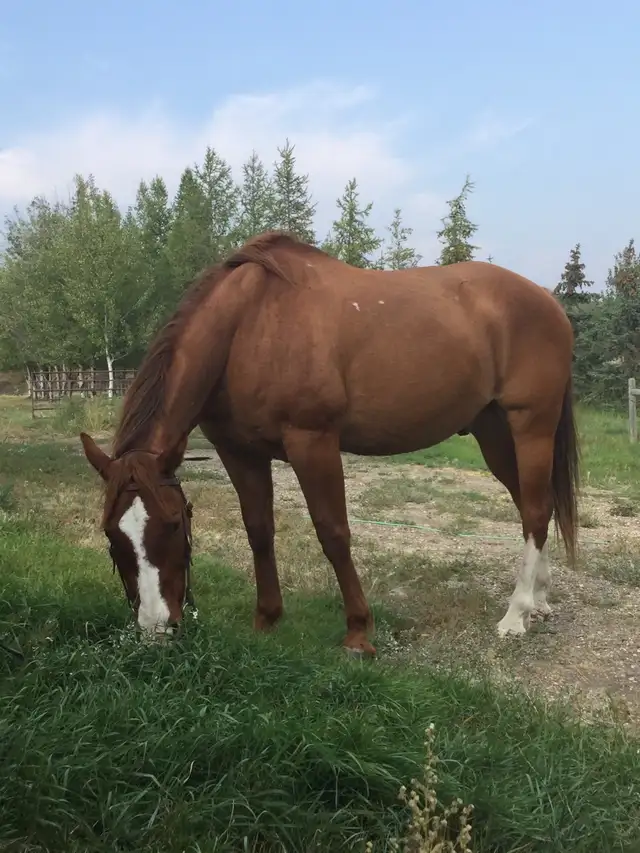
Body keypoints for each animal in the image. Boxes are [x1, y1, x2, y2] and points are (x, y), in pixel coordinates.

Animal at [80, 231, 580, 656]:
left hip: (531, 426)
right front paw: (267, 619)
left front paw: (358, 632)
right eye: (111, 534)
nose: (155, 630)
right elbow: (259, 530)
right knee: (531, 506)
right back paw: (539, 600)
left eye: (171, 525)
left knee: (536, 510)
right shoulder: (239, 451)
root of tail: (549, 303)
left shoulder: (313, 442)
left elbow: (333, 532)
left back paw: (515, 615)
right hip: (493, 432)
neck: (247, 326)